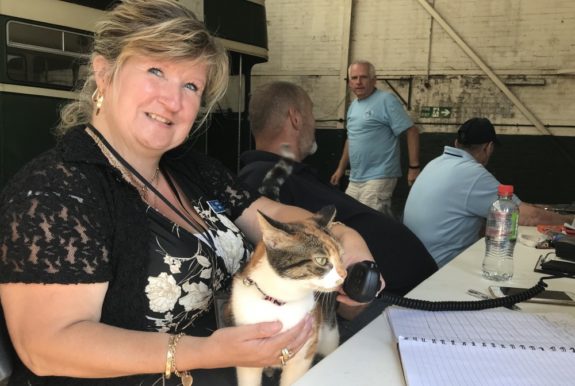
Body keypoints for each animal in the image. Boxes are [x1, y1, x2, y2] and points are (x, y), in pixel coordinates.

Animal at [230, 205, 346, 386]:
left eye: (341, 256)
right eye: (321, 260)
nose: (345, 274)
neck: (279, 302)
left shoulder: (304, 353)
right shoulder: (246, 353)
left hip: (329, 333)